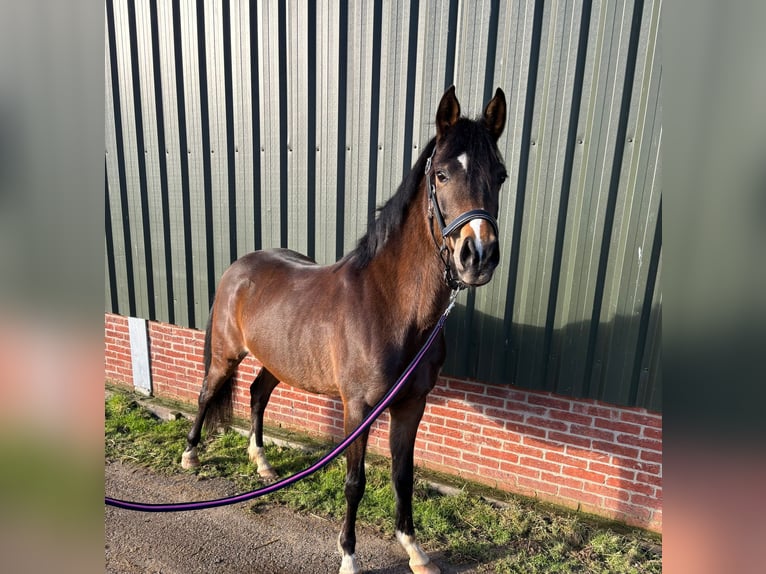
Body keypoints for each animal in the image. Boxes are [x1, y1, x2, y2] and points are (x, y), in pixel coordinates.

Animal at [181, 86, 507, 574]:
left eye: (501, 176)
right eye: (443, 174)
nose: (478, 256)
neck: (391, 307)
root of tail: (239, 266)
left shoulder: (410, 406)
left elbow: (403, 475)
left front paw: (414, 550)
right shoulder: (358, 407)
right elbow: (355, 481)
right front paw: (349, 556)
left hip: (278, 360)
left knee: (258, 394)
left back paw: (262, 464)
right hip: (225, 354)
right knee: (205, 395)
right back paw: (191, 454)